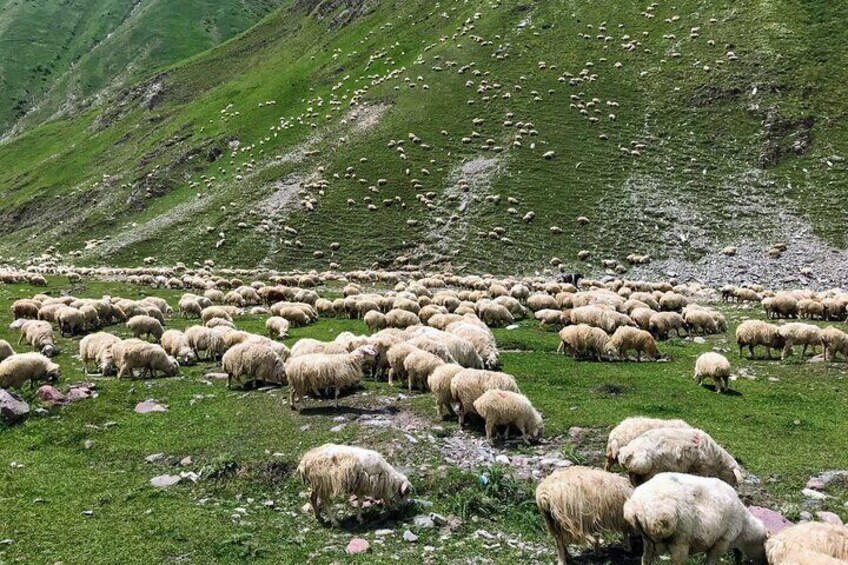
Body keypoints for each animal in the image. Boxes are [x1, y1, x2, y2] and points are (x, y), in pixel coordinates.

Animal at [616, 426, 744, 486]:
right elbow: (704, 476)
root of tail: (625, 453)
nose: (733, 487)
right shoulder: (703, 466)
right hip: (644, 464)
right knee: (634, 476)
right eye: (733, 476)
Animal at [624, 472, 768, 564]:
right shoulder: (721, 542)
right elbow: (711, 561)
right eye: (763, 546)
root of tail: (635, 506)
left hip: (648, 541)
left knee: (645, 559)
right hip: (679, 541)